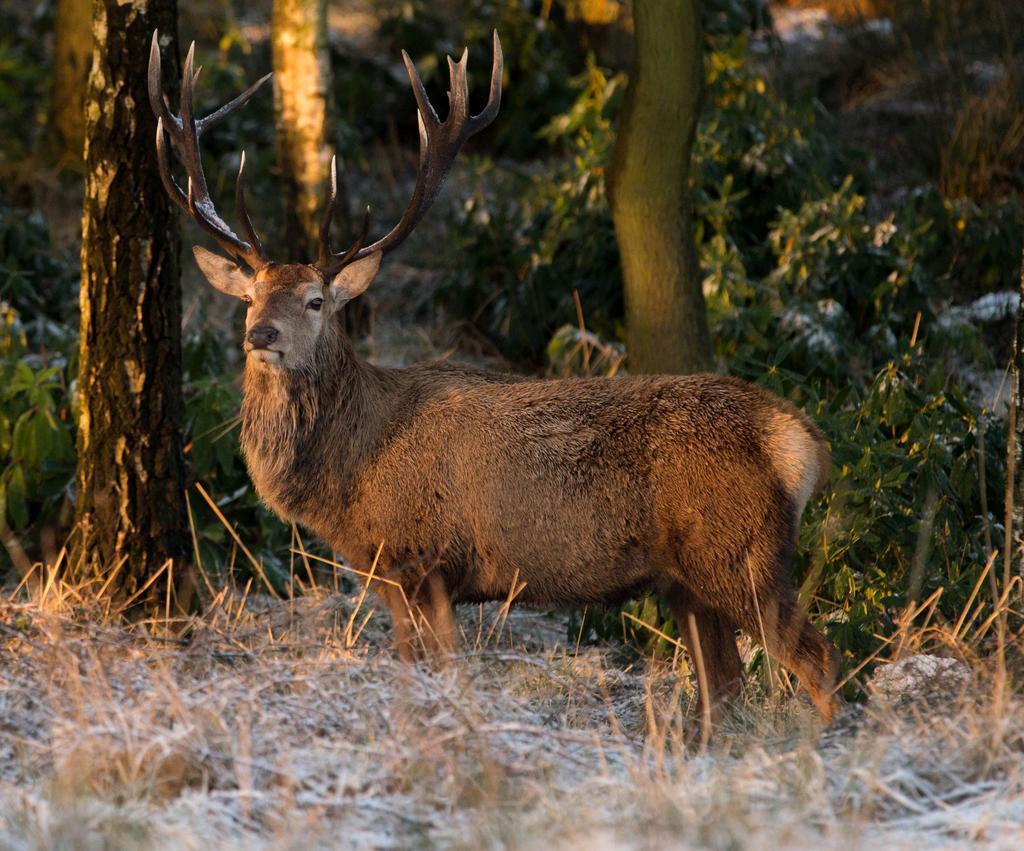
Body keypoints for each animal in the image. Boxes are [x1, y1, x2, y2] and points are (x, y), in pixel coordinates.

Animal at [148, 30, 843, 732]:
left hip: (738, 551)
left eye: (316, 301)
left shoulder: (420, 560)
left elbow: (435, 675)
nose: (261, 335)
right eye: (250, 297)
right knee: (723, 684)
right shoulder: (398, 575)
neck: (350, 471)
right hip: (689, 579)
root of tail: (802, 441)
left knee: (818, 658)